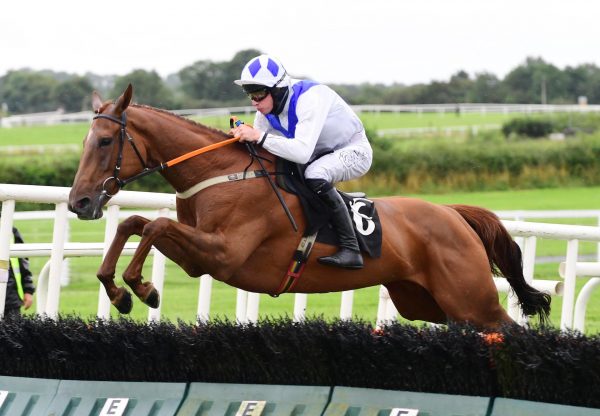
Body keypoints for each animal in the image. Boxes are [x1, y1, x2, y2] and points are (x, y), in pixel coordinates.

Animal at [68, 86, 552, 330]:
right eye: (85, 140)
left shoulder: (221, 253)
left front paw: (141, 289)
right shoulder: (199, 258)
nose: (79, 202)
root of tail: (453, 214)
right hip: (428, 303)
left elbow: (153, 227)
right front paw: (118, 290)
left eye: (105, 141)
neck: (222, 174)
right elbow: (134, 222)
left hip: (470, 300)